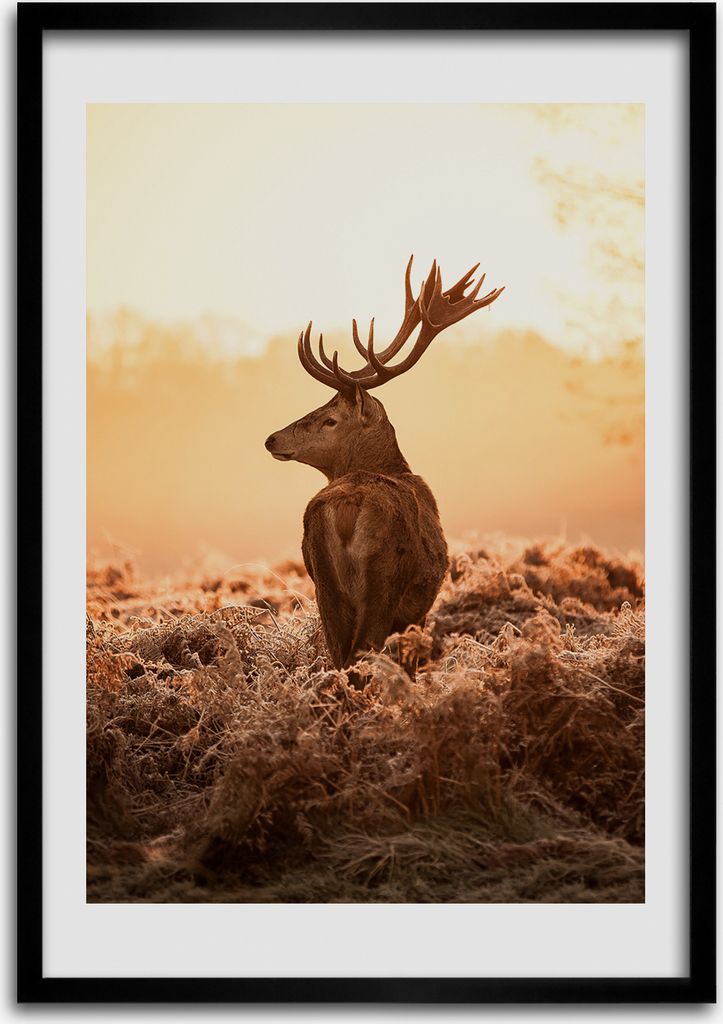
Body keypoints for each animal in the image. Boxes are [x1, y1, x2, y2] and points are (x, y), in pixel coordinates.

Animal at [265, 257, 504, 670]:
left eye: (329, 419)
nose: (272, 438)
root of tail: (347, 507)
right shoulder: (417, 611)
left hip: (324, 584)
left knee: (339, 656)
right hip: (384, 580)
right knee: (362, 653)